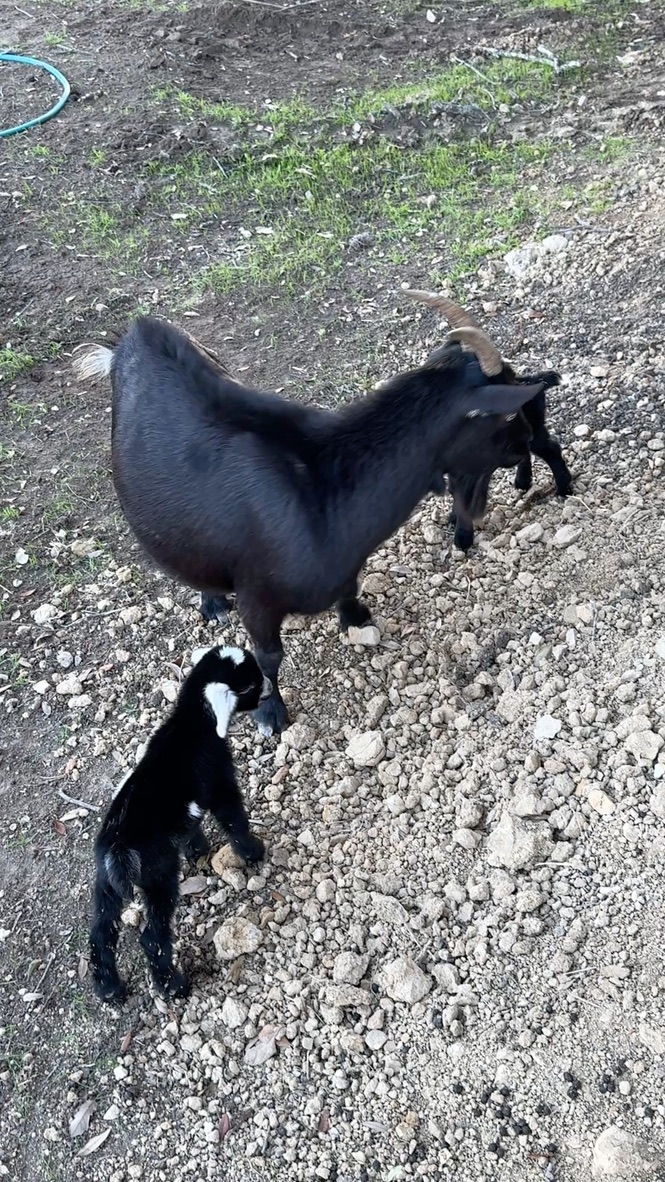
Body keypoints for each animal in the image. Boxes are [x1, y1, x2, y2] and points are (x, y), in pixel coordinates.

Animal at [73, 311, 548, 736]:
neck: (323, 495)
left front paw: (356, 617)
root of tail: (133, 335)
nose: (528, 441)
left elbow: (350, 591)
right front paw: (272, 713)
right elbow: (269, 658)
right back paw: (212, 602)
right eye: (507, 414)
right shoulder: (257, 600)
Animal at [89, 644, 270, 1003]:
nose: (270, 684)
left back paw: (109, 987)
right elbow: (233, 816)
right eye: (251, 683)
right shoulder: (219, 779)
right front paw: (253, 851)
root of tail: (117, 850)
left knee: (102, 932)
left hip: (106, 885)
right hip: (158, 876)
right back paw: (173, 985)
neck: (192, 720)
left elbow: (192, 827)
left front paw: (197, 848)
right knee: (153, 937)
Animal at [403, 290, 572, 551]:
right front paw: (455, 522)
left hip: (534, 427)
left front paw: (462, 539)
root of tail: (536, 380)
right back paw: (523, 481)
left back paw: (564, 489)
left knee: (548, 447)